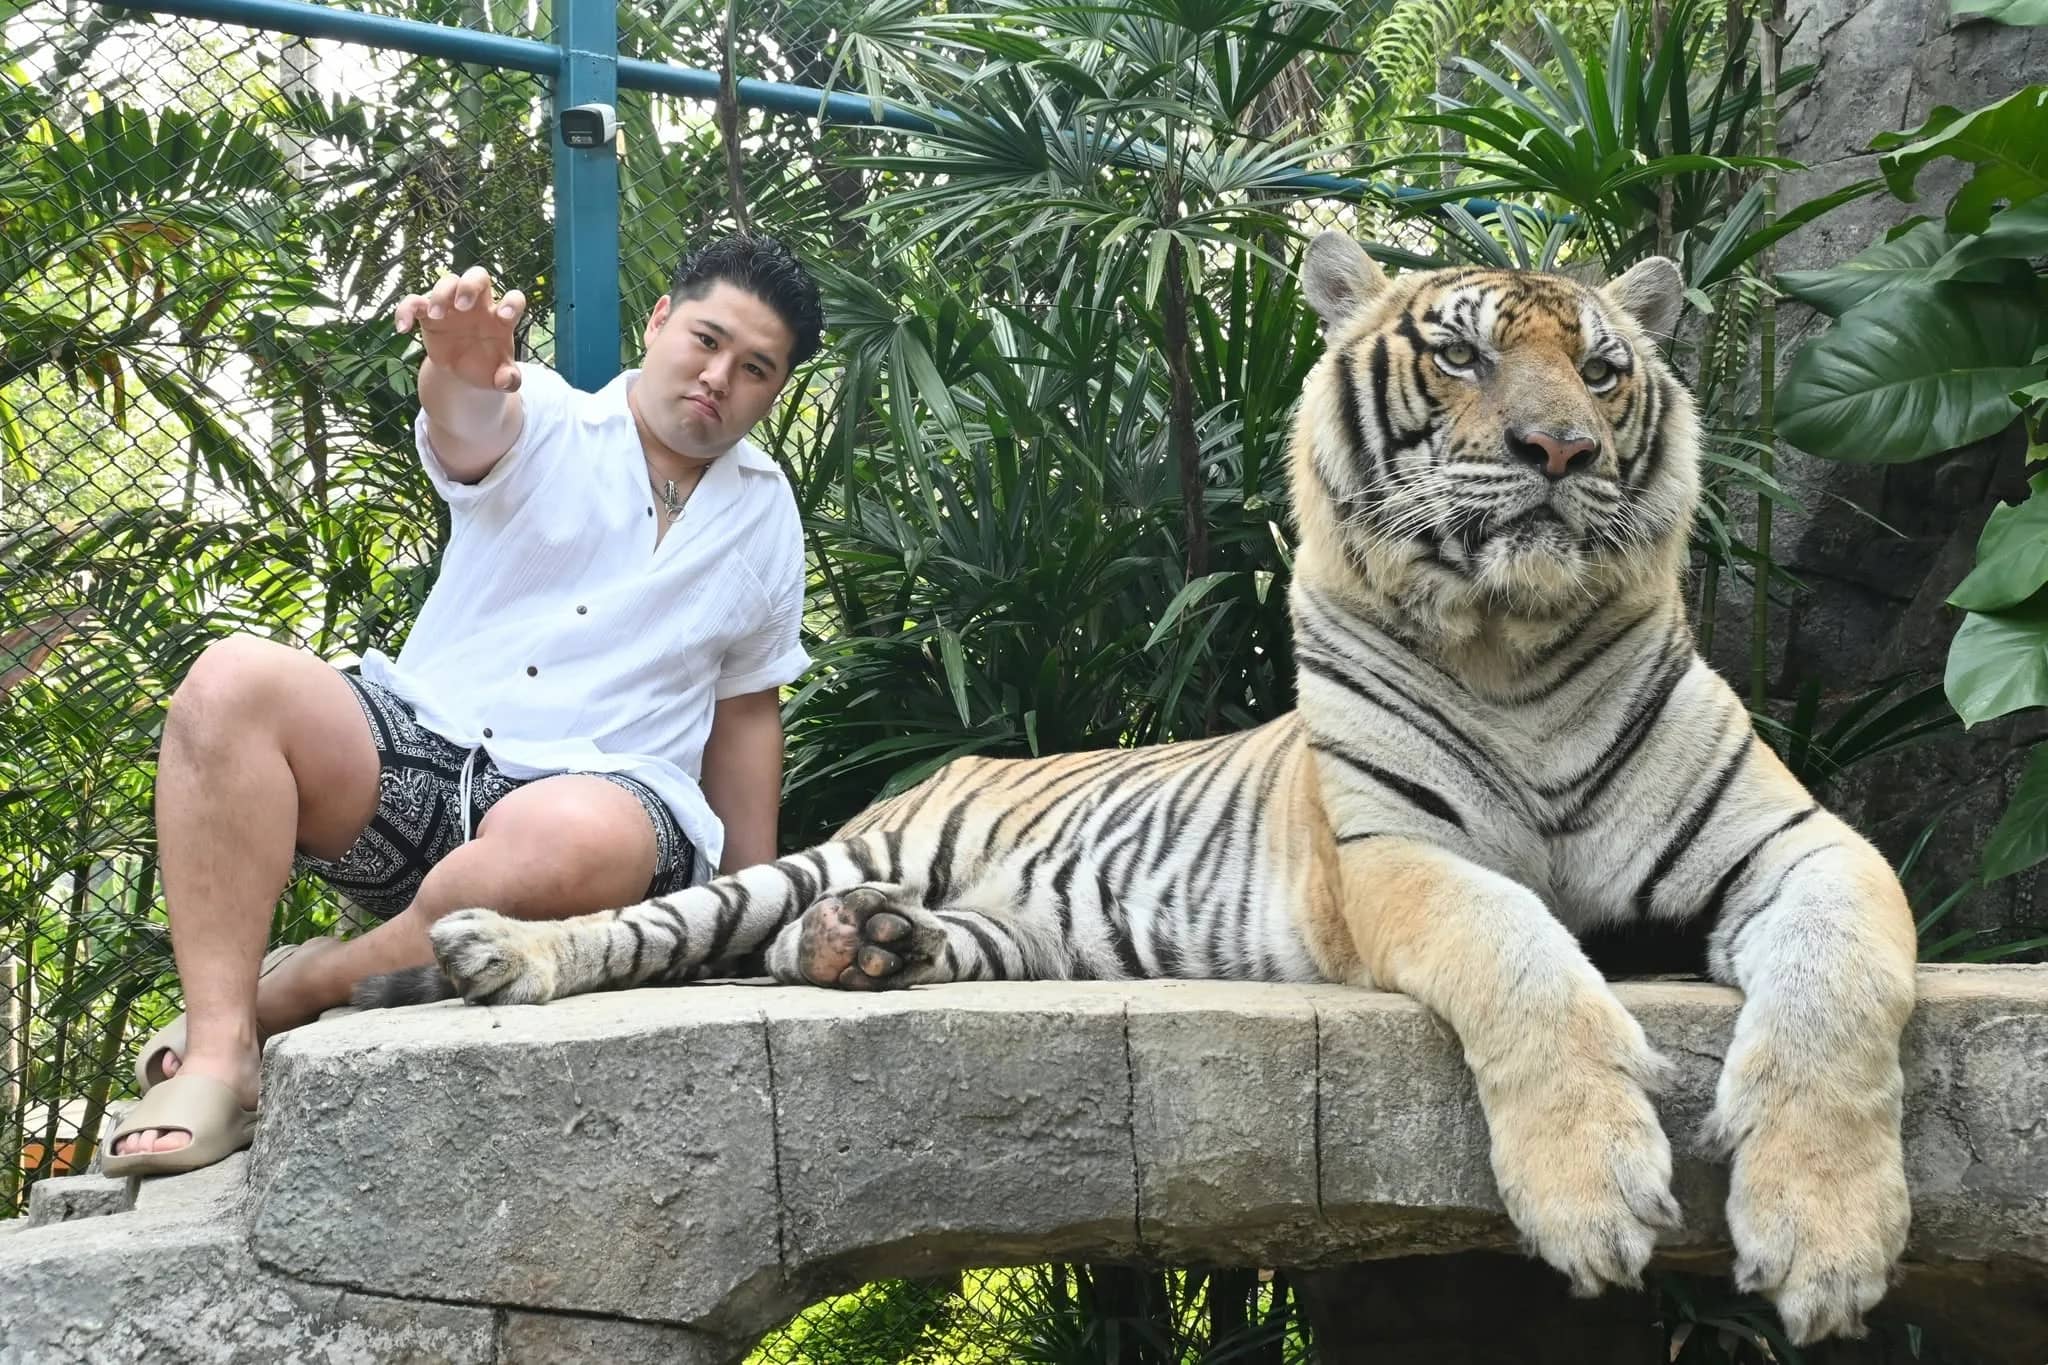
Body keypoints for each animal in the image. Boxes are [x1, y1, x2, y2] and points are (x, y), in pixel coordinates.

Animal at [358, 230, 1918, 1344]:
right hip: (812, 855)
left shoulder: (1799, 840)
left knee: (880, 944)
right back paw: (501, 951)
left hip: (1019, 929)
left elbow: (1840, 989)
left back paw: (866, 948)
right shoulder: (1399, 856)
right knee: (662, 922)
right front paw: (1595, 1194)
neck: (1515, 650)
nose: (1562, 451)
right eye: (1462, 358)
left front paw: (1829, 1241)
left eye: (1599, 373)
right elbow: (1527, 963)